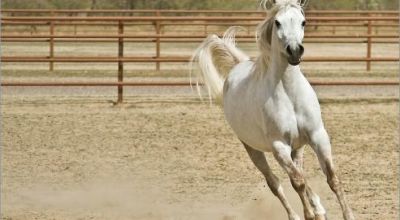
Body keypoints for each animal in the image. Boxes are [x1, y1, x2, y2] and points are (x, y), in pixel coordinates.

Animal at [192, 0, 354, 220]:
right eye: (277, 22)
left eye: (303, 22)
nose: (294, 51)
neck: (290, 95)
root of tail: (237, 67)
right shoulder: (279, 146)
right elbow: (297, 182)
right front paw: (308, 214)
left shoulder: (318, 136)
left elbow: (332, 179)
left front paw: (343, 214)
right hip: (253, 149)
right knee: (275, 183)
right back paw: (297, 215)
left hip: (298, 146)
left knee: (300, 173)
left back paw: (319, 209)